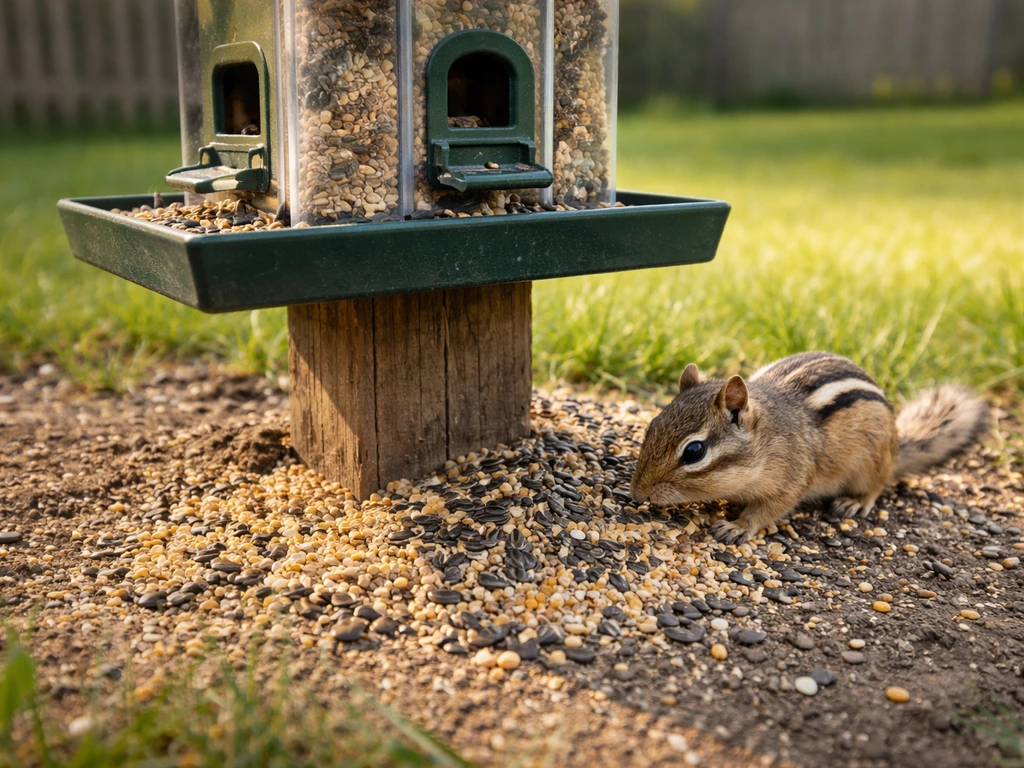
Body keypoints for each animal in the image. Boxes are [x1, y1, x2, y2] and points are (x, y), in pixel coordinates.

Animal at [630, 352, 990, 545]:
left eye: (694, 452)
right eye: (652, 425)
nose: (637, 493)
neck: (767, 439)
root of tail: (898, 447)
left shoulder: (791, 481)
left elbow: (767, 511)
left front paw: (736, 526)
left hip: (872, 463)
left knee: (877, 486)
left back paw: (855, 502)